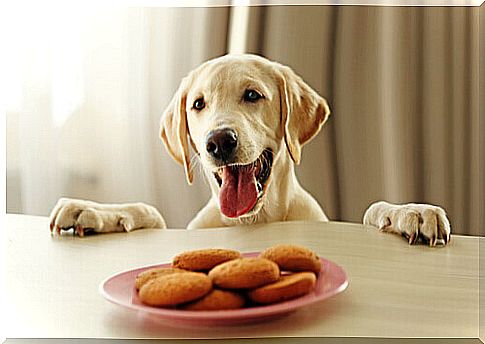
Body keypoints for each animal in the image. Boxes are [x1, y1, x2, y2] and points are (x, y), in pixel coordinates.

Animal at [48, 54, 450, 245]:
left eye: (253, 95)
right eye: (198, 104)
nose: (218, 141)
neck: (253, 222)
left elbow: (372, 209)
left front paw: (412, 212)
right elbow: (150, 211)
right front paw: (94, 210)